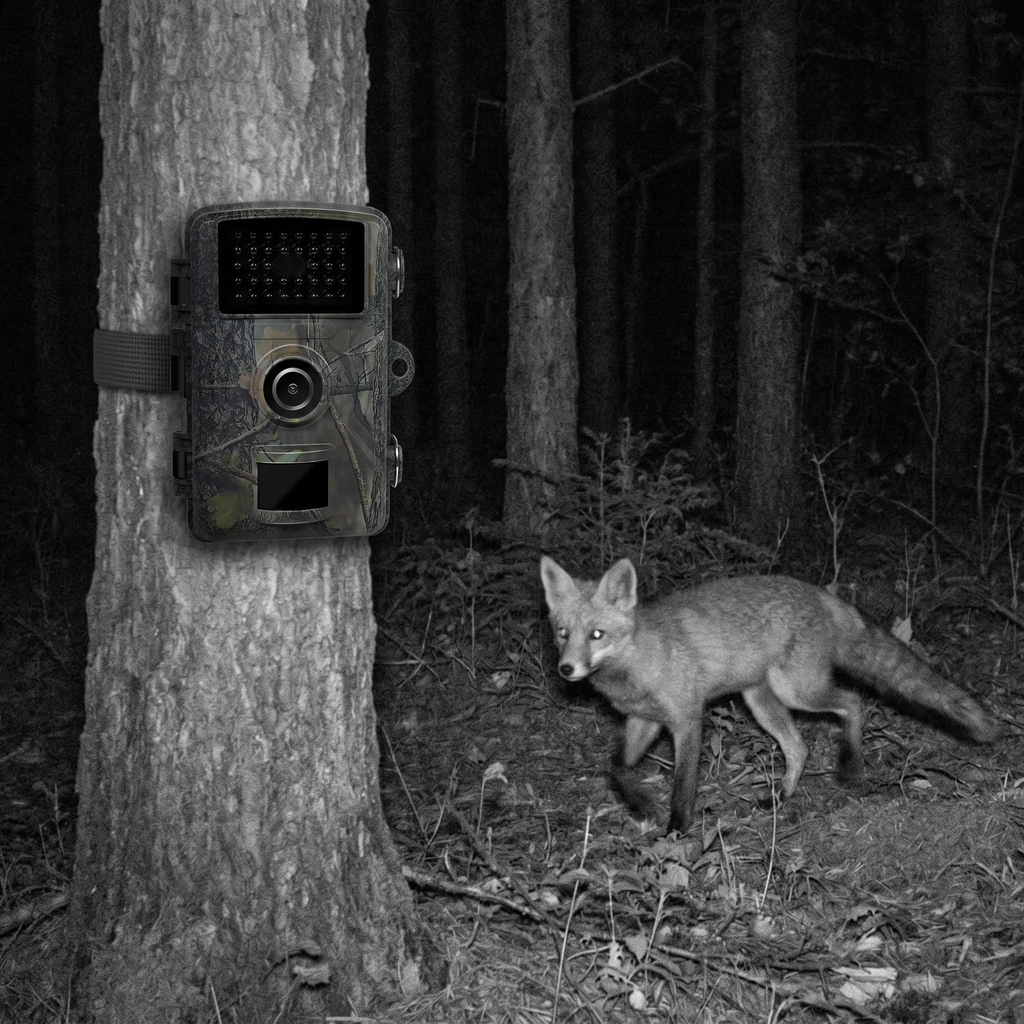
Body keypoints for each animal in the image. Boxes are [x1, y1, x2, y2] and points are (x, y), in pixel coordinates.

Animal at [539, 555, 1002, 834]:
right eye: (563, 633)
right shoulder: (644, 720)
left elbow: (683, 784)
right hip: (761, 701)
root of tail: (818, 592)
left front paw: (676, 830)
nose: (566, 669)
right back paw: (781, 798)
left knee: (853, 703)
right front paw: (639, 805)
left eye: (596, 634)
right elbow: (615, 768)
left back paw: (850, 768)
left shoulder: (686, 719)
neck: (636, 665)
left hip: (797, 691)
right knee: (798, 747)